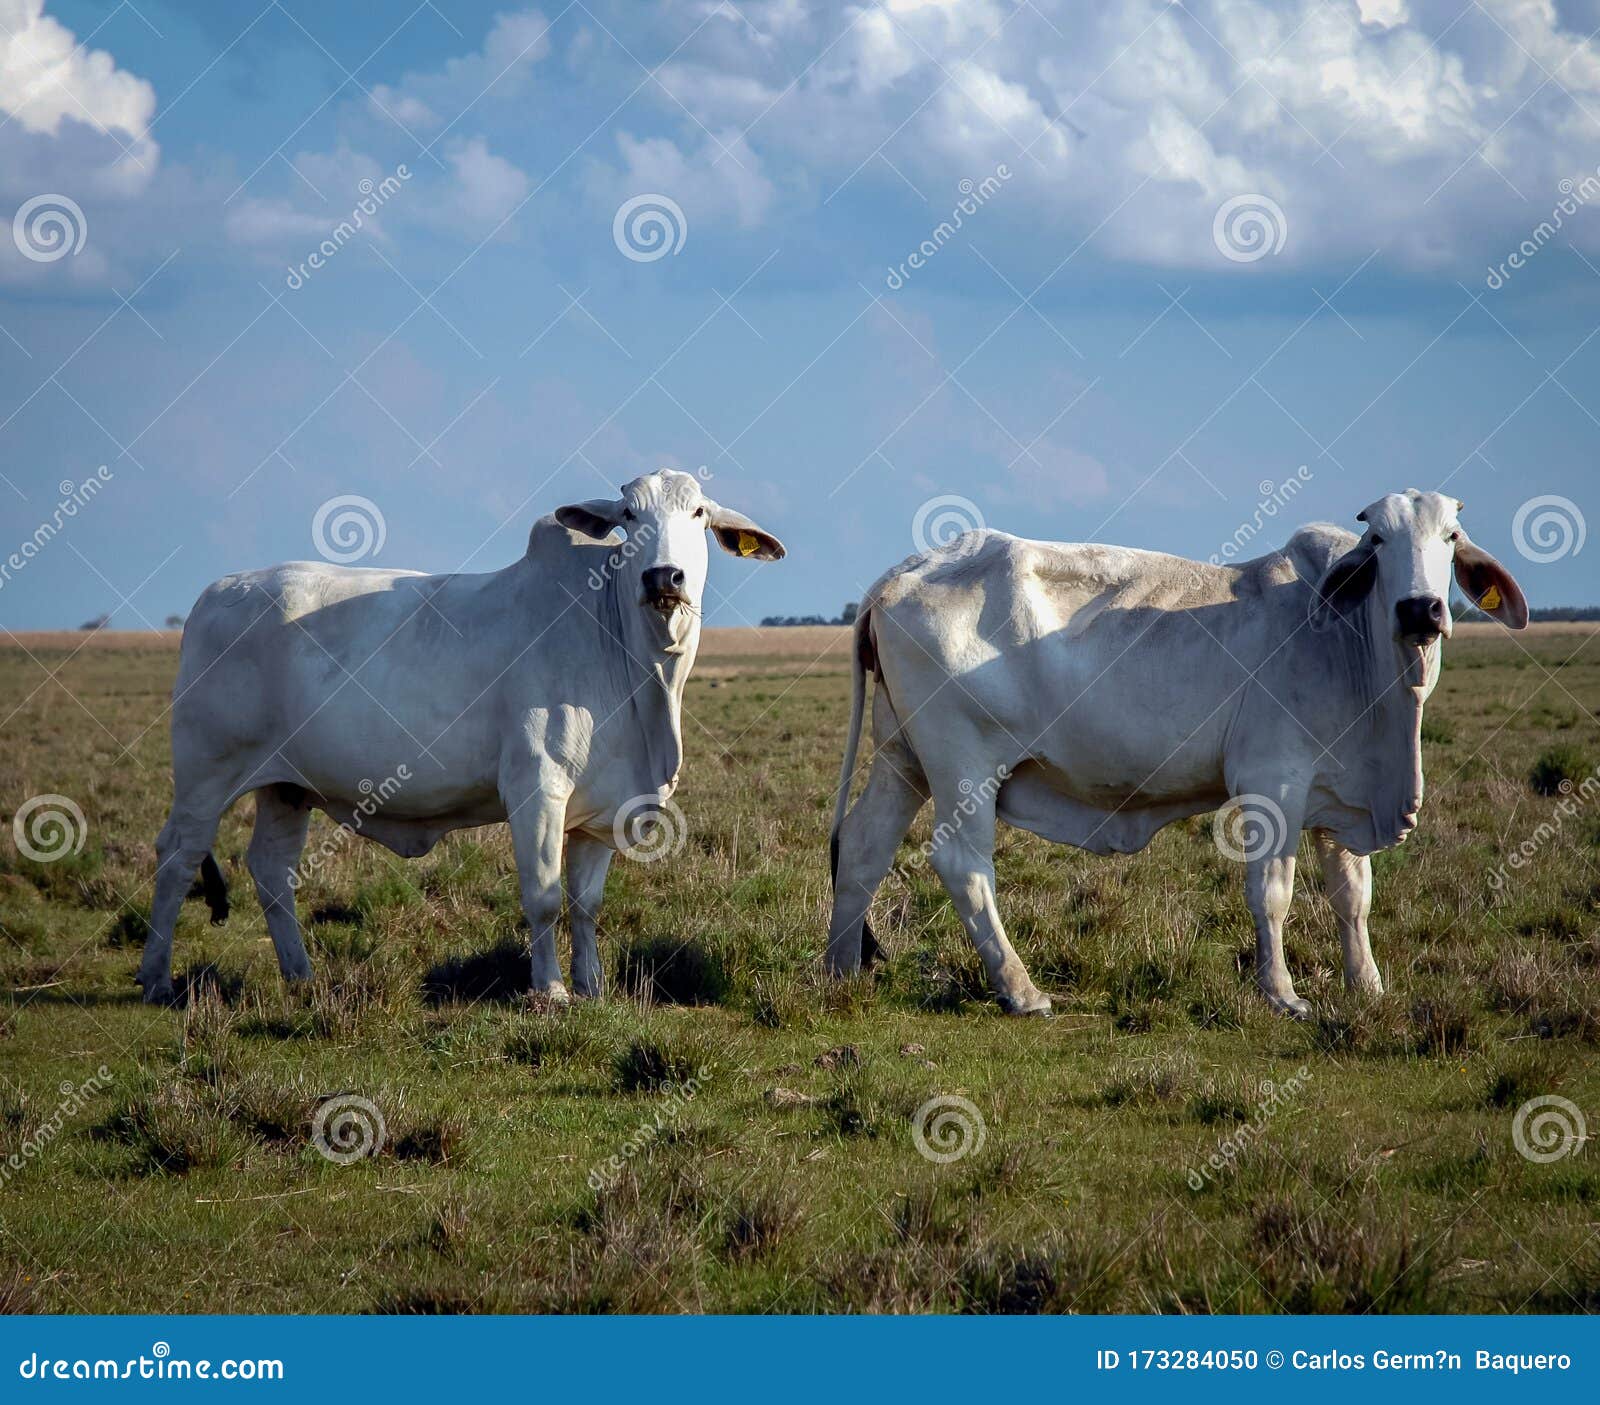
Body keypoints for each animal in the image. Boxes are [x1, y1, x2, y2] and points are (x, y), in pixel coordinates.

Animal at [138, 470, 783, 1005]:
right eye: (628, 513)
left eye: (698, 512)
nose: (663, 575)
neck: (633, 664)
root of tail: (221, 590)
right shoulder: (536, 789)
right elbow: (545, 897)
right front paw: (551, 991)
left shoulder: (606, 806)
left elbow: (586, 906)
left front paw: (593, 986)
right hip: (206, 772)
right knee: (177, 857)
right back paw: (157, 978)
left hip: (286, 787)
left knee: (273, 872)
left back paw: (300, 977)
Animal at [826, 490, 1527, 1017]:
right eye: (1378, 540)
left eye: (1451, 536)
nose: (1421, 609)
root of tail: (899, 575)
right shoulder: (1272, 783)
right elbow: (1271, 892)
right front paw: (1282, 994)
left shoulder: (1339, 796)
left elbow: (1353, 896)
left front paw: (1369, 986)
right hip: (963, 768)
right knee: (964, 865)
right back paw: (1021, 989)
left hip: (903, 761)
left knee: (861, 849)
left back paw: (839, 972)